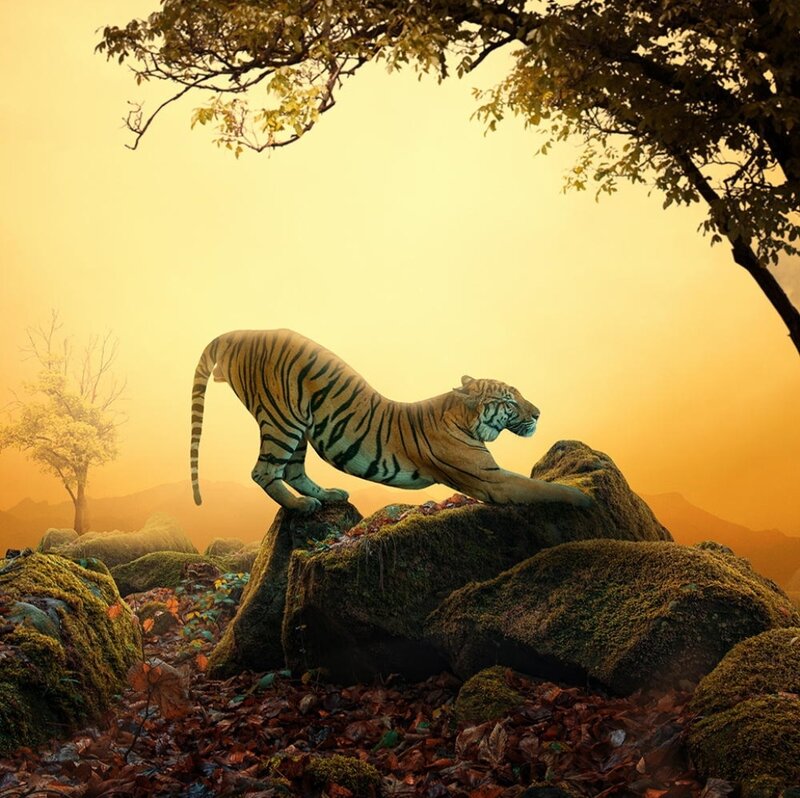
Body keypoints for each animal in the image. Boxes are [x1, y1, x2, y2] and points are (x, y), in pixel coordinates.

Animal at [190, 329, 592, 513]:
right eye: (509, 401)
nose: (538, 413)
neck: (464, 416)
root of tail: (237, 333)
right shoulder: (490, 479)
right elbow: (540, 488)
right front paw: (582, 498)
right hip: (281, 419)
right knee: (264, 471)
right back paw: (300, 506)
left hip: (299, 424)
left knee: (291, 469)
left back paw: (328, 495)